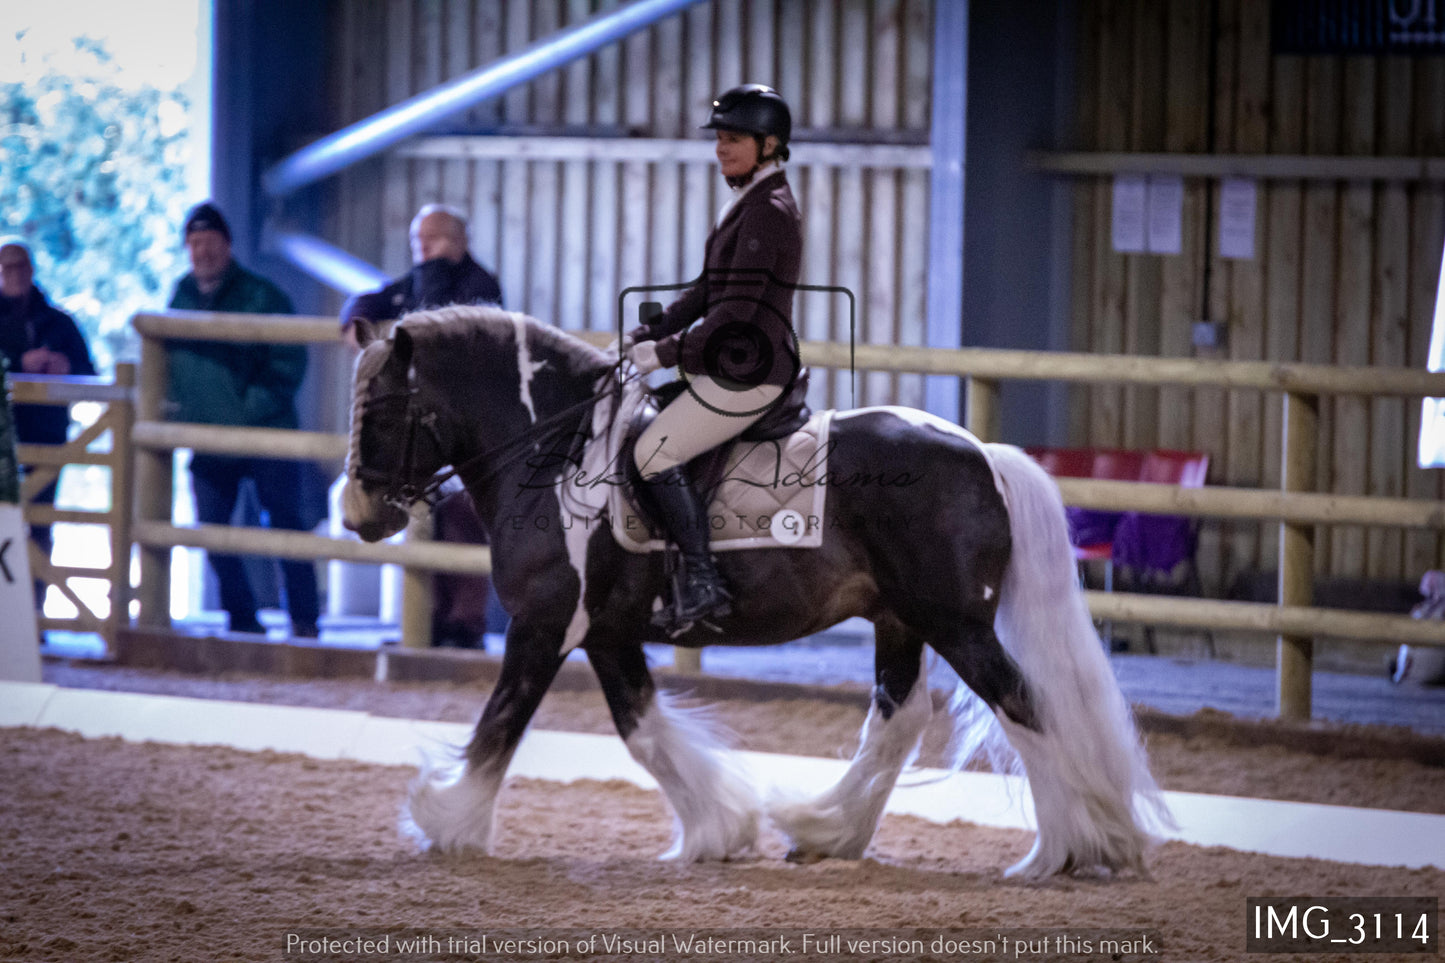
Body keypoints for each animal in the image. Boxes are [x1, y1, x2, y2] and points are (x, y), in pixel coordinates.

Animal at [343, 303, 1167, 873]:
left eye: (380, 410)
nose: (357, 515)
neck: (555, 452)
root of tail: (981, 453)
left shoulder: (545, 624)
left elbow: (500, 723)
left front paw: (446, 821)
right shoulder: (606, 632)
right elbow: (642, 730)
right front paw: (718, 829)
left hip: (954, 622)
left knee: (1020, 702)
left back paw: (1068, 849)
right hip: (900, 618)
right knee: (899, 720)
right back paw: (825, 829)